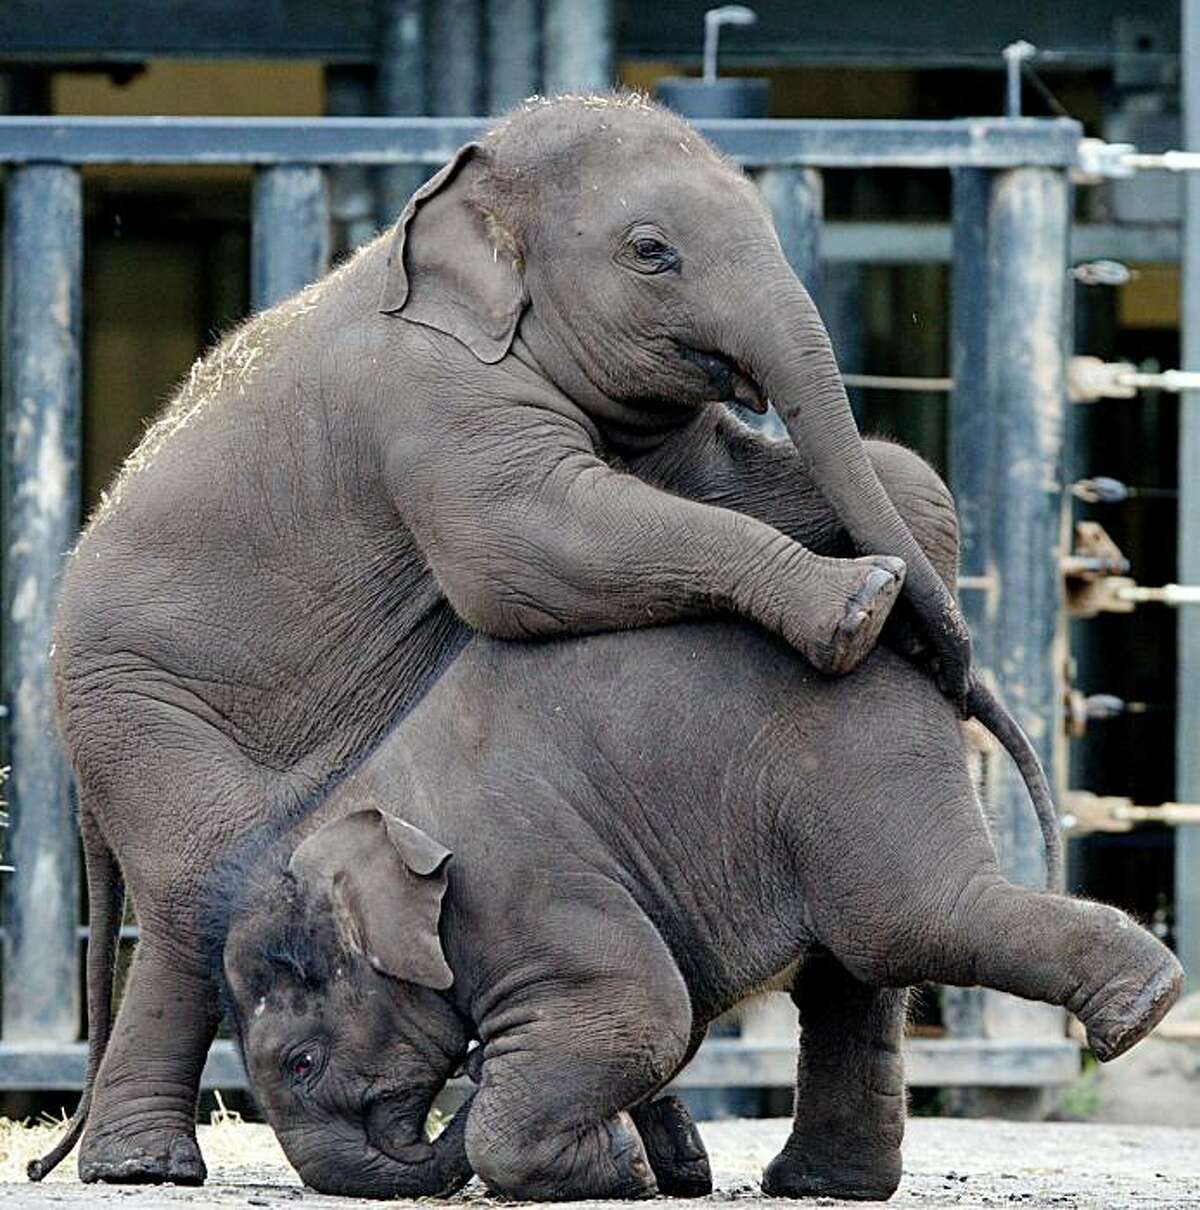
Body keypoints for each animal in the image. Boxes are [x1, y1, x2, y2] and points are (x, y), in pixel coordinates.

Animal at [37, 91, 1030, 1180]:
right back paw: (143, 1167)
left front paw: (913, 559)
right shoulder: (430, 401)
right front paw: (861, 607)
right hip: (145, 715)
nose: (954, 672)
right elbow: (528, 540)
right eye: (651, 251)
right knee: (197, 901)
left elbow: (717, 484)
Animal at [215, 624, 1180, 1200]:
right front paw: (661, 1162)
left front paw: (629, 1169)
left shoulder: (523, 884)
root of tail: (933, 668)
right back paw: (820, 1186)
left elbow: (645, 1010)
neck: (358, 821)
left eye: (300, 1062)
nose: (479, 1062)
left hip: (861, 766)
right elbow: (657, 1028)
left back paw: (1144, 1010)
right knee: (856, 979)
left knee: (912, 922)